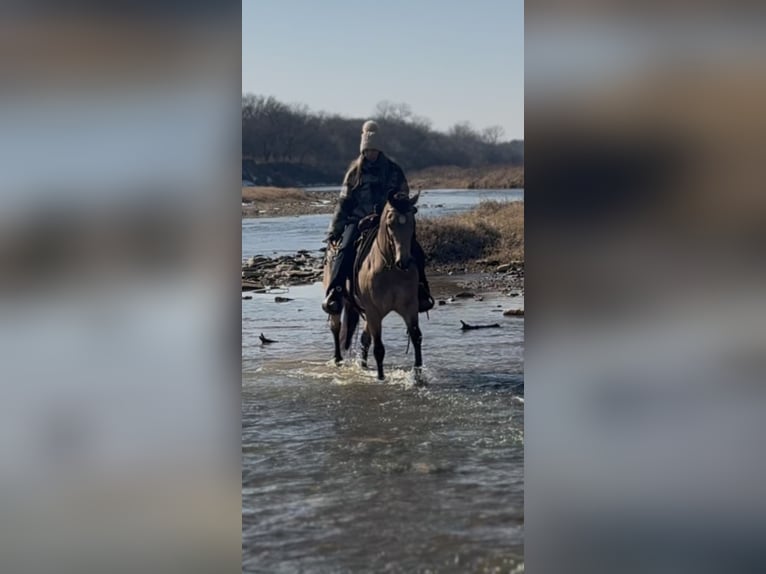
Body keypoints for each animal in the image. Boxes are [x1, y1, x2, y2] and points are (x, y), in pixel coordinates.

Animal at [322, 190, 423, 380]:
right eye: (390, 223)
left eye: (412, 222)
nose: (404, 262)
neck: (390, 269)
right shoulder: (374, 311)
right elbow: (379, 348)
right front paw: (381, 378)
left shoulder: (410, 307)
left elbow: (416, 338)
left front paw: (418, 375)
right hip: (341, 305)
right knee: (335, 327)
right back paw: (338, 359)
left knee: (363, 338)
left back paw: (362, 365)